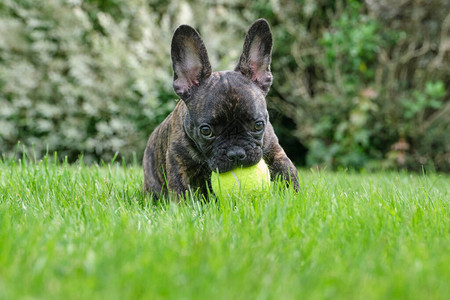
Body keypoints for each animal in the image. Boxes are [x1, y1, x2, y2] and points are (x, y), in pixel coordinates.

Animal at [144, 17, 298, 198]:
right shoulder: (178, 164)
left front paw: (293, 196)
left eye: (258, 125)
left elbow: (287, 171)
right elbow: (181, 190)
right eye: (206, 131)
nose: (236, 153)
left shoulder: (274, 150)